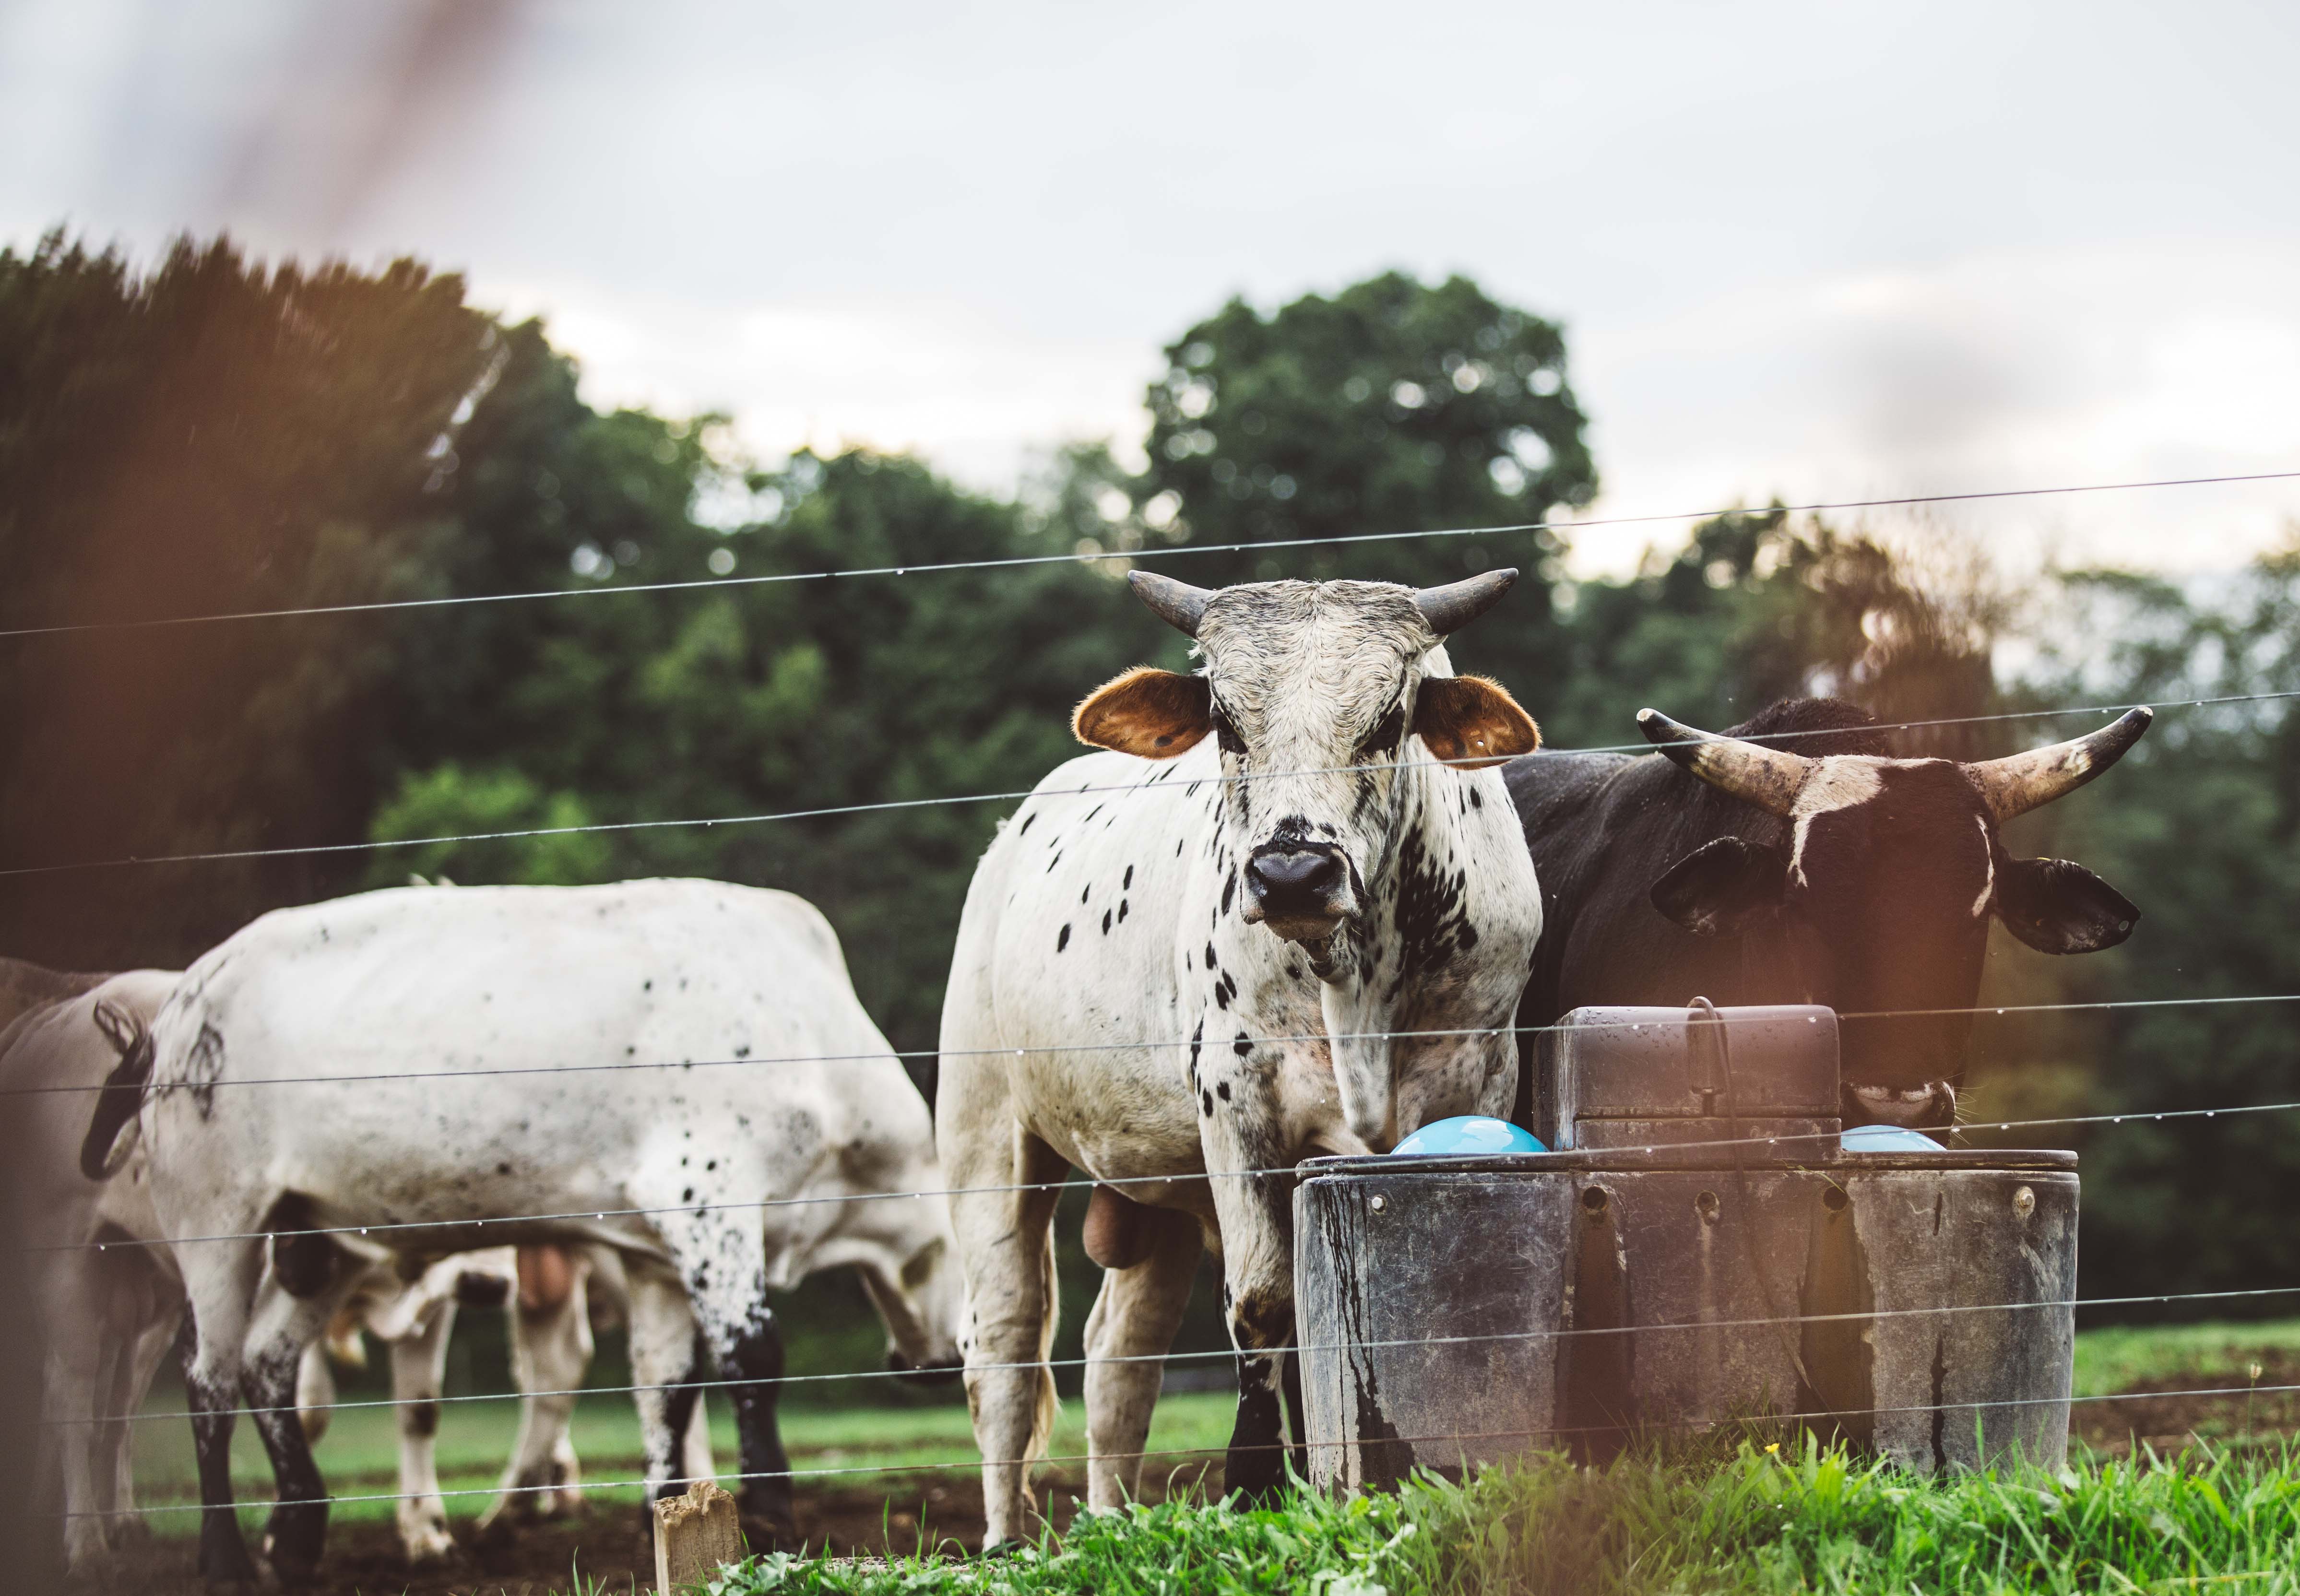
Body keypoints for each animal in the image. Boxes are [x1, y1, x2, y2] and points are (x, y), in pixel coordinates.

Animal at [79, 880, 966, 1585]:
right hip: (216, 1222)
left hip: (324, 1239)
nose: (936, 1361)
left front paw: (670, 1507)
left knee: (267, 1362)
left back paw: (299, 1535)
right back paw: (226, 1555)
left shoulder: (659, 1254)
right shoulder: (710, 1197)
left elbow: (668, 1387)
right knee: (209, 1381)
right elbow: (753, 1356)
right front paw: (772, 1511)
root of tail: (183, 998)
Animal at [939, 570, 1545, 1547]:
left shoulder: (1481, 1074)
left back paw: (1111, 1520)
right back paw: (1004, 1539)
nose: (1291, 873)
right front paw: (1255, 1482)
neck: (1353, 979)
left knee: (1119, 1351)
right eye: (1225, 719)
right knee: (1004, 1336)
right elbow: (1261, 1299)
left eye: (1388, 716)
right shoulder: (1237, 1102)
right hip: (987, 1134)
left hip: (1159, 1190)